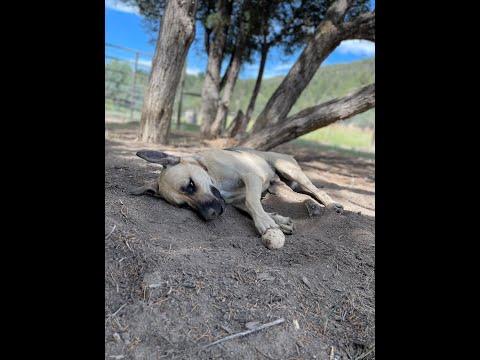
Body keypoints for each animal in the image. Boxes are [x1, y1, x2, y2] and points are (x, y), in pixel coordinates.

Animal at [131, 148, 342, 249]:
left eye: (190, 185)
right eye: (184, 206)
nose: (210, 214)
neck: (211, 172)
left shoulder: (251, 177)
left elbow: (252, 202)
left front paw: (266, 223)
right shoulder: (236, 200)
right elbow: (253, 206)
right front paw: (279, 221)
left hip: (289, 170)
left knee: (317, 191)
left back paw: (330, 205)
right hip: (282, 185)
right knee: (298, 195)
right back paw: (311, 207)